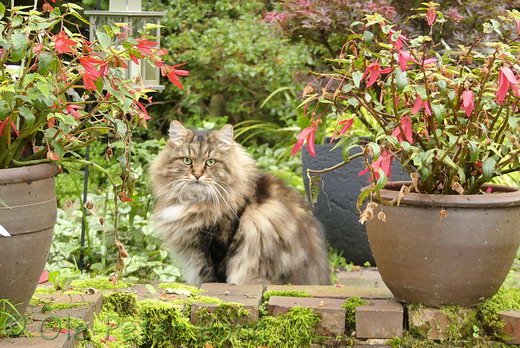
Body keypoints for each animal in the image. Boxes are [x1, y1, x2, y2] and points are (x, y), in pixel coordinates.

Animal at [150, 121, 330, 286]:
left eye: (210, 162)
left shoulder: (215, 249)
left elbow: (212, 279)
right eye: (187, 160)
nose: (197, 175)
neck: (195, 201)